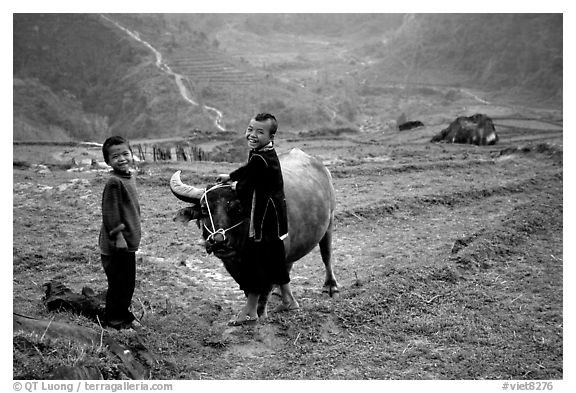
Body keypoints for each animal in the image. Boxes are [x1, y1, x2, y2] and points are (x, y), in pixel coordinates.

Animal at [171, 149, 340, 314]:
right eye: (205, 210)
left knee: (326, 255)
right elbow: (250, 288)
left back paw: (330, 286)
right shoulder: (235, 266)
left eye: (237, 208)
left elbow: (264, 291)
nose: (219, 241)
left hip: (329, 221)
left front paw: (258, 312)